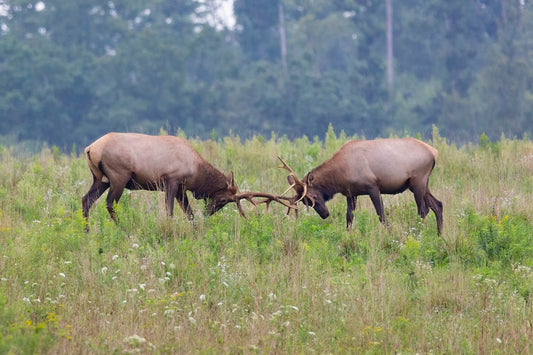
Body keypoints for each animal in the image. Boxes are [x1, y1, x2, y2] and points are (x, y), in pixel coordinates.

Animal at [82, 132, 296, 227]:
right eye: (223, 199)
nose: (208, 213)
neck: (196, 172)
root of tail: (90, 148)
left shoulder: (181, 189)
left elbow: (189, 213)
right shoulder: (171, 180)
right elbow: (170, 211)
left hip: (100, 179)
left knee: (86, 200)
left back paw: (86, 230)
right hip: (118, 176)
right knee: (110, 203)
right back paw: (122, 227)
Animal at [276, 138, 442, 234]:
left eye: (314, 196)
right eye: (305, 202)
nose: (325, 214)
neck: (340, 175)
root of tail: (434, 152)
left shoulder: (373, 186)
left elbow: (381, 215)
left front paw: (390, 234)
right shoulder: (351, 192)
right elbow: (349, 216)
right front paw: (348, 235)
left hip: (418, 181)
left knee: (423, 209)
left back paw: (418, 233)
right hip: (420, 184)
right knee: (438, 205)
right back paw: (439, 235)